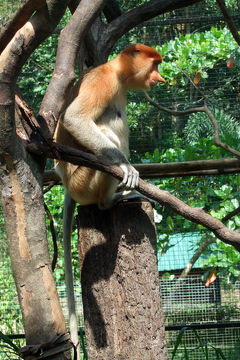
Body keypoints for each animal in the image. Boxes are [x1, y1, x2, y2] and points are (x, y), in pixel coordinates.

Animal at [54, 43, 165, 352]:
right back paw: (113, 198)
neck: (117, 72)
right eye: (155, 65)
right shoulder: (102, 82)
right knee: (105, 131)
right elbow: (75, 118)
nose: (160, 78)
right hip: (83, 180)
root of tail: (66, 183)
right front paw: (127, 167)